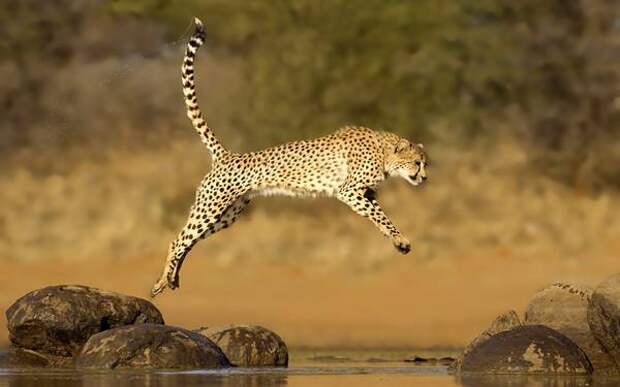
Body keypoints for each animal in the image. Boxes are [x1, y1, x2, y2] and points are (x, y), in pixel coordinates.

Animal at [153, 17, 428, 298]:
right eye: (417, 163)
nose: (424, 178)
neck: (384, 152)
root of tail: (227, 155)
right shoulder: (348, 191)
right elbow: (379, 216)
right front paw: (401, 239)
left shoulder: (365, 193)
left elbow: (380, 216)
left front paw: (398, 241)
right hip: (211, 207)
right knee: (178, 240)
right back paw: (163, 281)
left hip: (228, 213)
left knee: (188, 242)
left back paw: (172, 279)